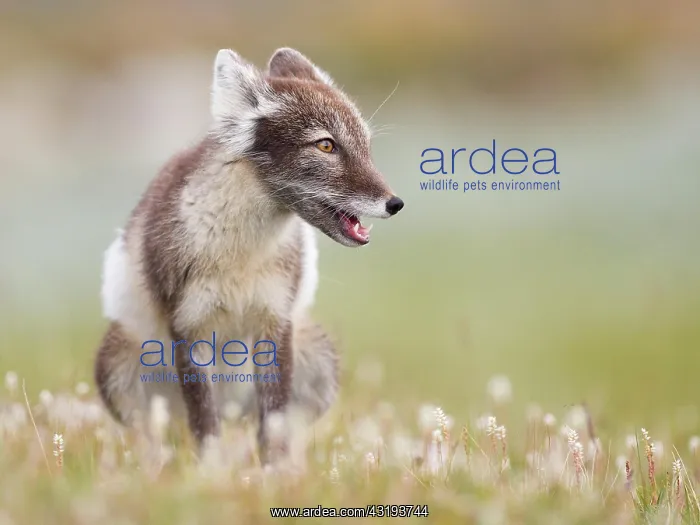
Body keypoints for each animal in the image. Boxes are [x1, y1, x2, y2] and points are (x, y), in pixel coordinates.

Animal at [94, 47, 404, 461]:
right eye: (326, 145)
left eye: (365, 146)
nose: (395, 203)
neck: (242, 255)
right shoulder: (189, 328)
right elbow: (204, 425)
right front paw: (210, 471)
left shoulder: (274, 321)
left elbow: (273, 425)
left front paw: (273, 472)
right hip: (118, 366)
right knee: (159, 435)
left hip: (320, 359)